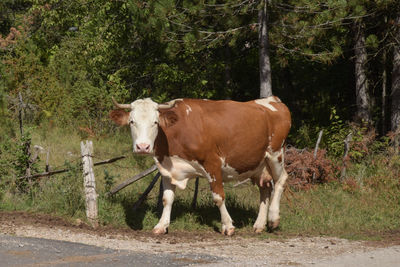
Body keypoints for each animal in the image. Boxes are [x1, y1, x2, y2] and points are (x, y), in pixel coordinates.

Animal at [109, 97, 290, 236]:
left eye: (155, 122)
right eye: (132, 122)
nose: (142, 147)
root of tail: (273, 100)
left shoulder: (213, 163)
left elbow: (218, 197)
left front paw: (228, 226)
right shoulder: (167, 169)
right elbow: (167, 199)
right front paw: (161, 226)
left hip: (275, 154)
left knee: (281, 180)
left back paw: (273, 219)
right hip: (258, 164)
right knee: (265, 188)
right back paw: (259, 225)